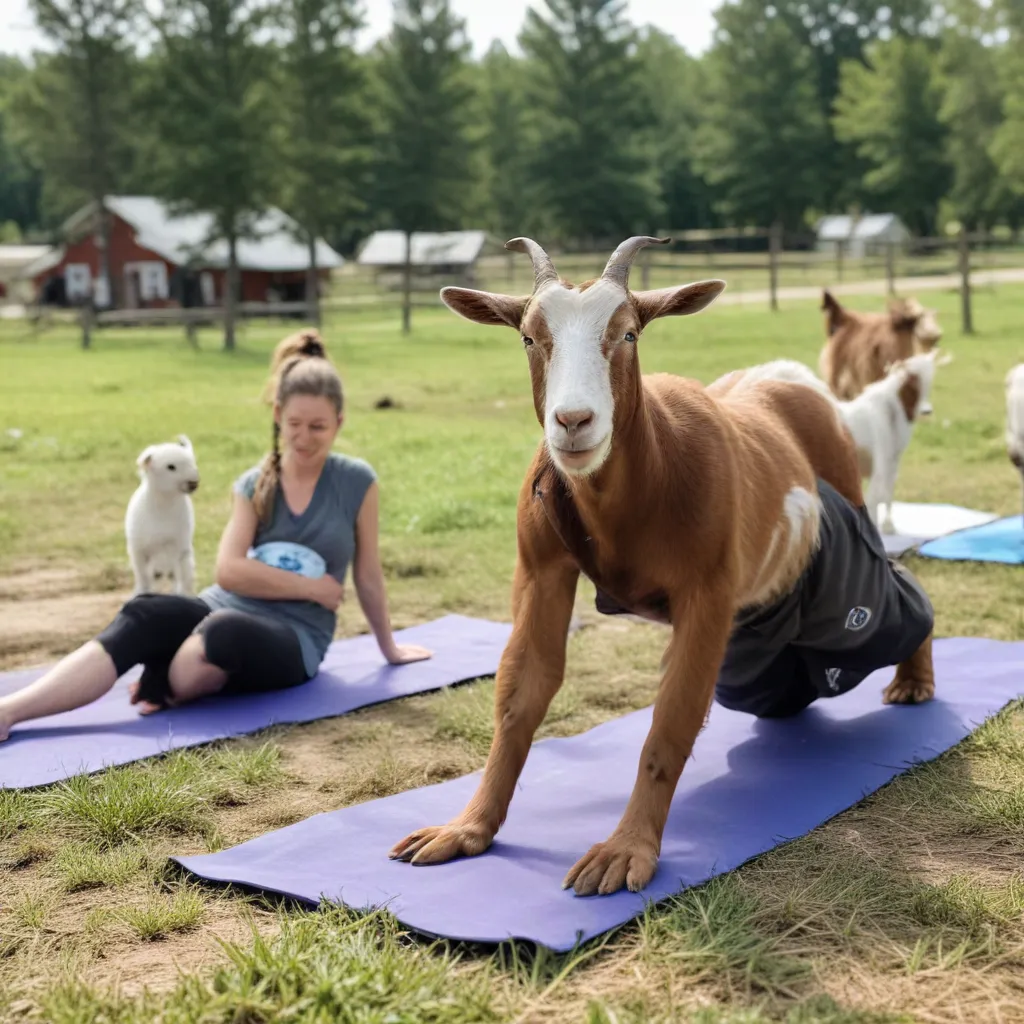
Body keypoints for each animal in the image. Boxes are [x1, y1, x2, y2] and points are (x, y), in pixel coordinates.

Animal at [385, 235, 937, 892]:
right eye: (528, 338)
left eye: (627, 334)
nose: (574, 421)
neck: (640, 484)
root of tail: (794, 379)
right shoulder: (541, 566)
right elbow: (523, 694)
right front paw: (469, 827)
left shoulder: (708, 595)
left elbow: (671, 719)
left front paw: (627, 849)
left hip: (844, 544)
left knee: (890, 599)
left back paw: (915, 679)